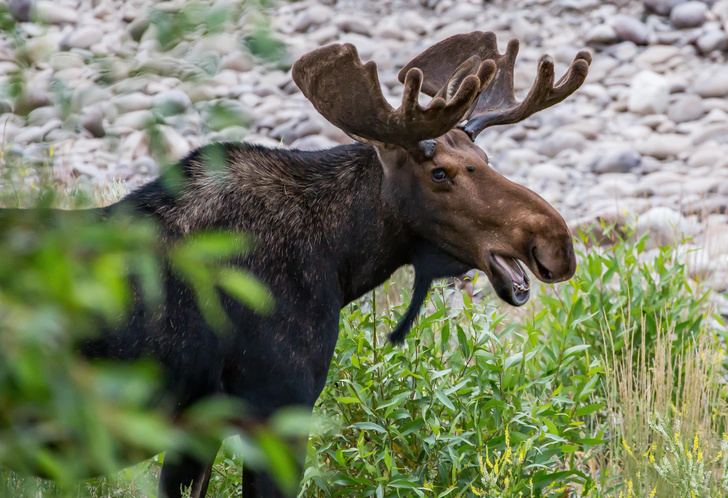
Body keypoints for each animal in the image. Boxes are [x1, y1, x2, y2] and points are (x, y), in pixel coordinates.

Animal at [4, 32, 592, 498]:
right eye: (441, 173)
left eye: (486, 159)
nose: (555, 242)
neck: (339, 262)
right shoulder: (277, 406)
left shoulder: (198, 424)